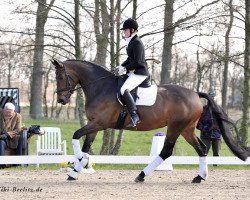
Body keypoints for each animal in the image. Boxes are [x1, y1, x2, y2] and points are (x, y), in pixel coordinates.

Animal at [52, 59, 248, 183]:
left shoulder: (100, 123)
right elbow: (85, 145)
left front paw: (81, 162)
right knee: (201, 148)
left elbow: (76, 136)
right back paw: (200, 177)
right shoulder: (93, 125)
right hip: (187, 129)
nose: (61, 100)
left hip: (175, 127)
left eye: (61, 77)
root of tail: (194, 93)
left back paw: (142, 175)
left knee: (167, 151)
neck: (101, 87)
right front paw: (75, 172)